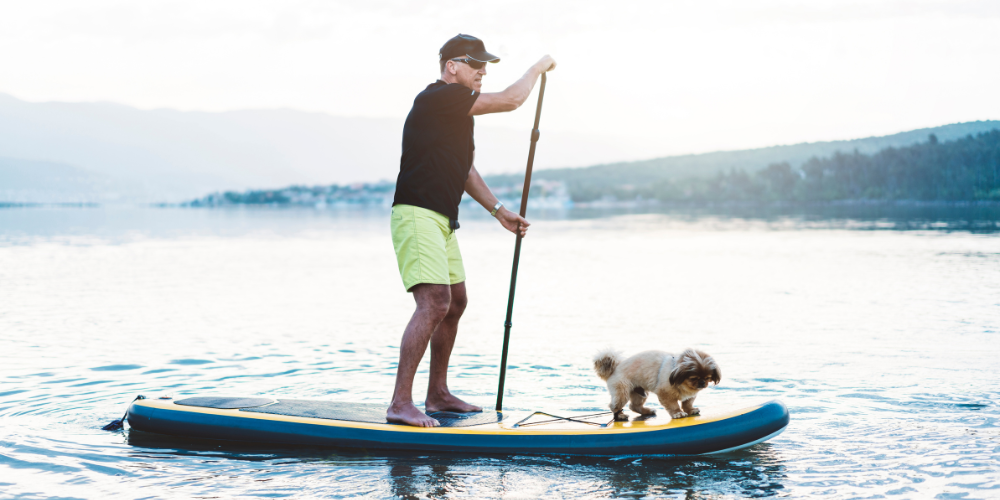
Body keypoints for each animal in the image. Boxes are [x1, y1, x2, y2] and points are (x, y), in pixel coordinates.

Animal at [588, 348, 724, 422]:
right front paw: (678, 413)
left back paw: (646, 411)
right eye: (693, 378)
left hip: (640, 393)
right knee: (614, 406)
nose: (702, 383)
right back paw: (620, 415)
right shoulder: (665, 394)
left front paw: (690, 410)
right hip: (622, 393)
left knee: (634, 405)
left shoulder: (690, 395)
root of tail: (615, 368)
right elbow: (673, 405)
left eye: (707, 378)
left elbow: (687, 403)